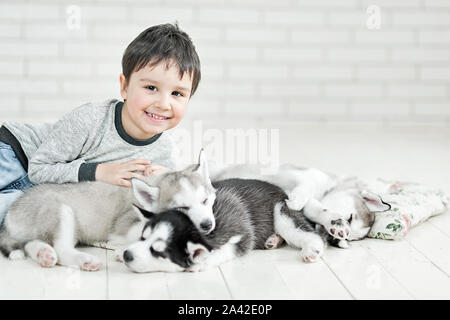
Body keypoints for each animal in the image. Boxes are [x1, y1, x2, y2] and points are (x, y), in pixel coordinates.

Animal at [0, 149, 216, 270]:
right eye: (182, 207)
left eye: (205, 200)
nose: (207, 225)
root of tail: (12, 210)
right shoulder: (123, 225)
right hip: (61, 210)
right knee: (61, 248)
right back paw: (84, 260)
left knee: (31, 243)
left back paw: (44, 254)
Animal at [121, 178, 328, 272]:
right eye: (143, 238)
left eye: (158, 252)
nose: (126, 254)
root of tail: (283, 191)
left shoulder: (243, 233)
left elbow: (228, 249)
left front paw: (203, 261)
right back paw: (273, 240)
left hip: (282, 214)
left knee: (311, 235)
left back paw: (310, 249)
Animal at [211, 164, 390, 249]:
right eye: (350, 218)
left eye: (345, 240)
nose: (333, 239)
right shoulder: (300, 176)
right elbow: (308, 192)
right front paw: (297, 200)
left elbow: (314, 208)